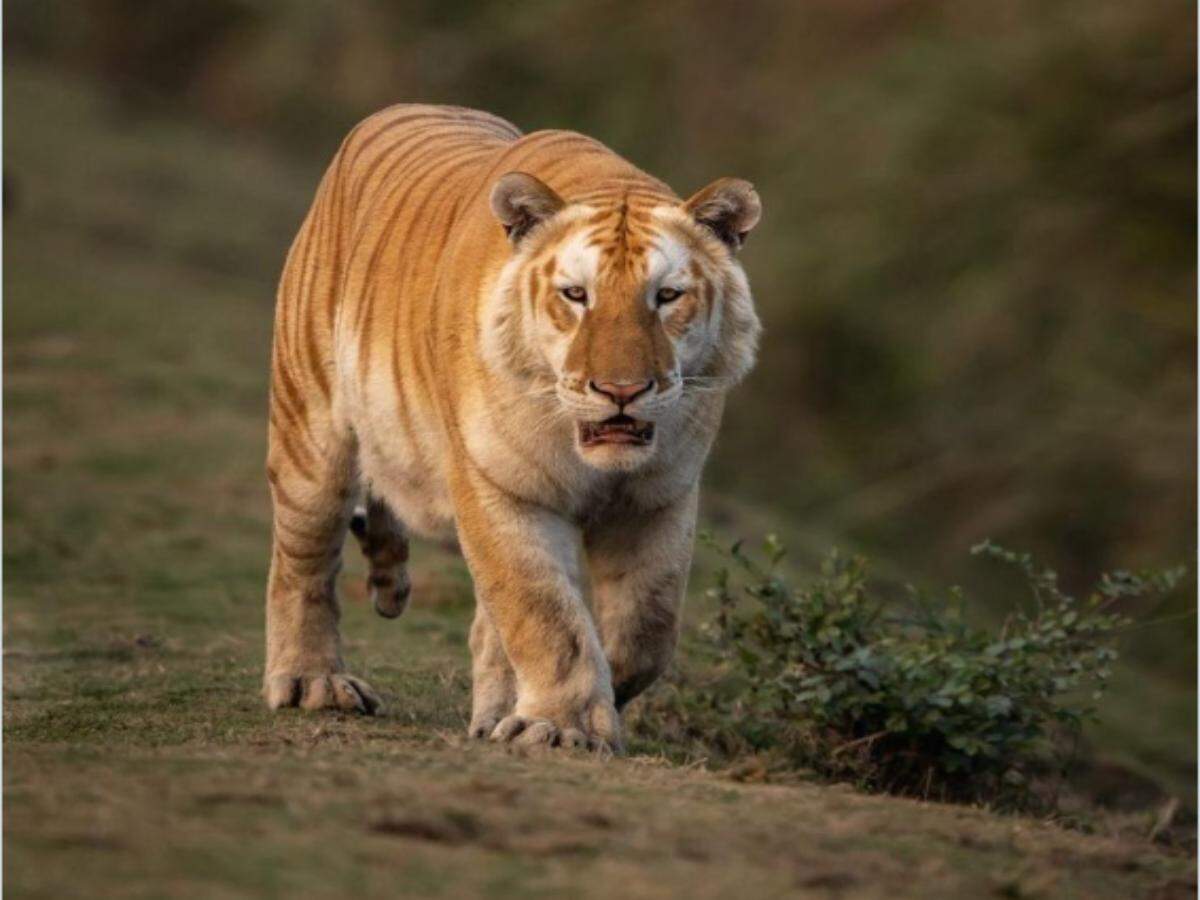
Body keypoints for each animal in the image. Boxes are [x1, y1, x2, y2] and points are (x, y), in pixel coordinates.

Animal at [264, 103, 761, 753]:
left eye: (667, 296)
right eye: (576, 295)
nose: (621, 390)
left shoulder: (660, 496)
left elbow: (645, 629)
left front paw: (558, 711)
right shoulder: (499, 485)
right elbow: (546, 615)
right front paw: (562, 726)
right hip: (311, 433)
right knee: (303, 561)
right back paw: (313, 683)